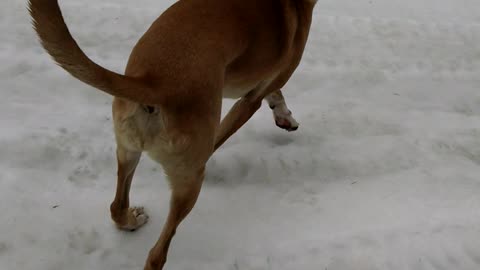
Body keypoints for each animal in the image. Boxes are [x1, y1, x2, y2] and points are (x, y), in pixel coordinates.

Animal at [29, 0, 316, 268]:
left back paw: (130, 221)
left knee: (116, 206)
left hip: (127, 150)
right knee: (157, 255)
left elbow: (275, 95)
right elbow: (225, 132)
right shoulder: (249, 101)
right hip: (188, 182)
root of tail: (154, 82)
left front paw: (284, 115)